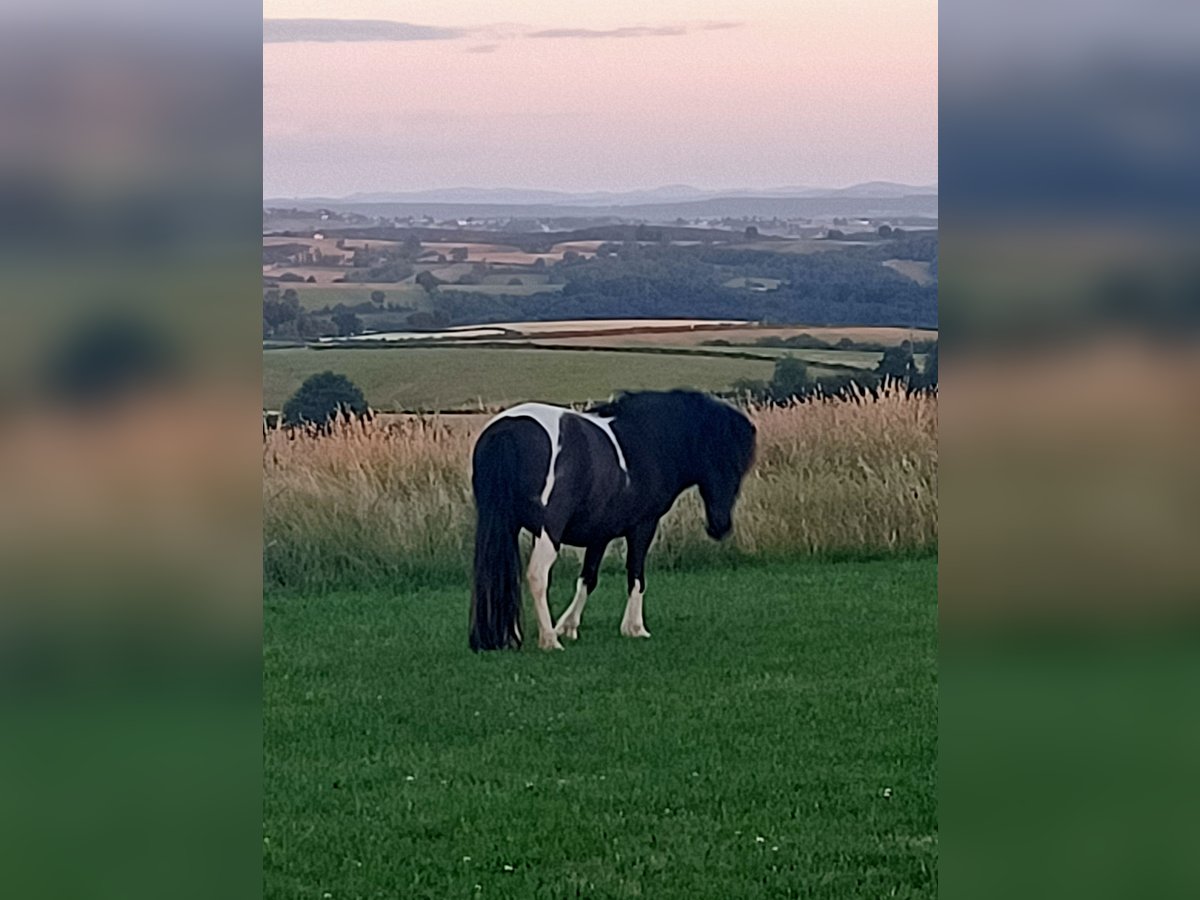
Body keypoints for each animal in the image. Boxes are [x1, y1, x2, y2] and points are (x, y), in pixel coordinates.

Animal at [465, 391, 753, 652]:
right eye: (726, 460)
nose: (720, 527)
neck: (647, 440)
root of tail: (507, 431)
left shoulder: (599, 534)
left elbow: (588, 578)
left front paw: (568, 626)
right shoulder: (643, 526)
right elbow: (636, 574)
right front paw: (635, 628)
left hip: (502, 526)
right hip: (549, 531)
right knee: (537, 574)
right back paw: (549, 640)